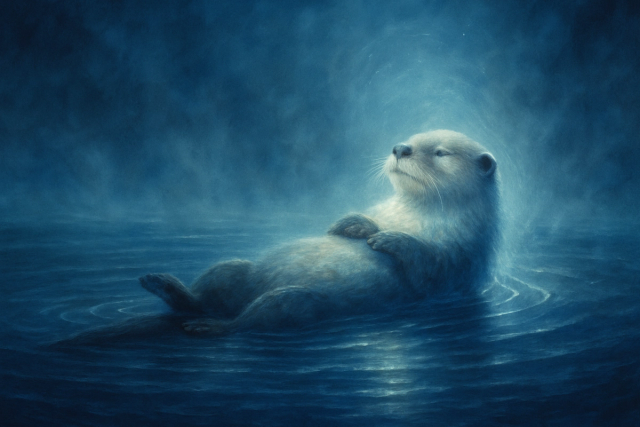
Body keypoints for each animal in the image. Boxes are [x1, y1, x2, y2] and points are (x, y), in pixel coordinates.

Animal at [140, 130, 499, 335]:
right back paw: (161, 284)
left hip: (298, 302)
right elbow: (370, 221)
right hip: (233, 270)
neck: (413, 215)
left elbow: (428, 272)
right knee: (206, 292)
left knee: (247, 322)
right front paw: (353, 224)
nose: (400, 148)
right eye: (412, 136)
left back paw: (207, 324)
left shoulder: (463, 261)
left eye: (440, 152)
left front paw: (391, 239)